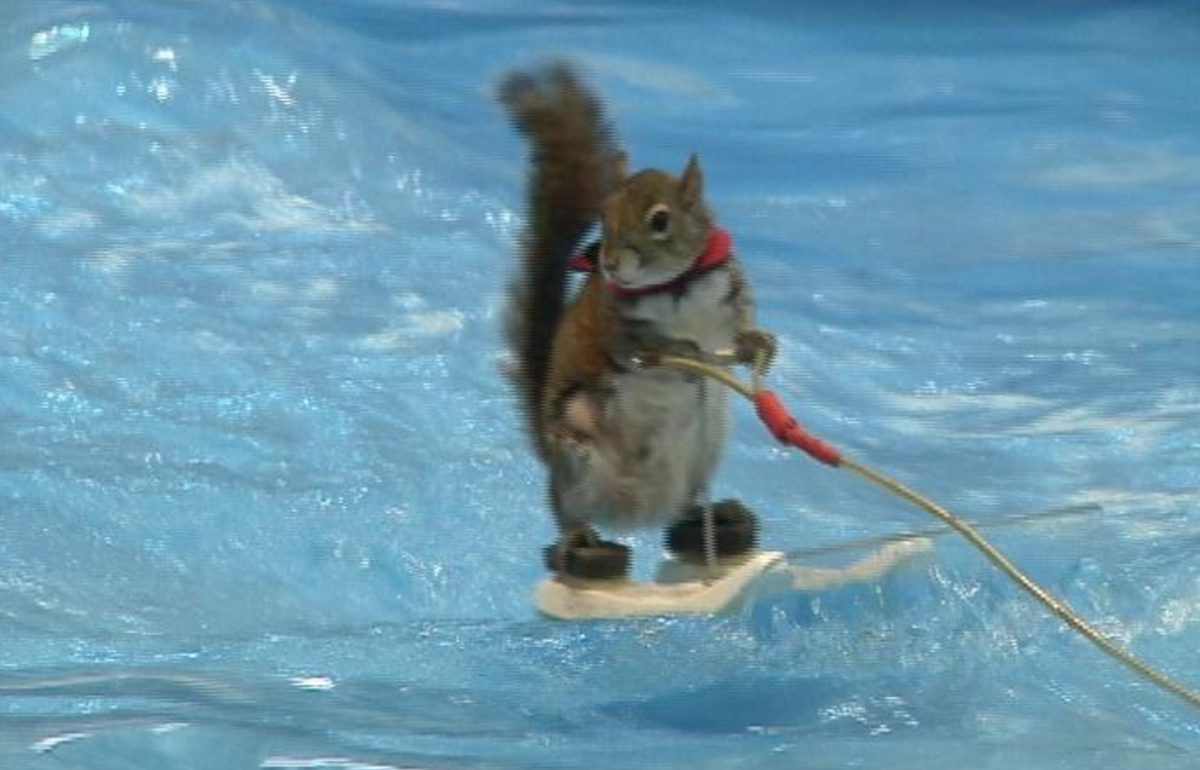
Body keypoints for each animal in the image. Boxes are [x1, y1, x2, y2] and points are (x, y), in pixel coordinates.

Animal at [499, 62, 775, 579]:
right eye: (603, 216)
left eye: (660, 220)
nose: (609, 264)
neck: (676, 284)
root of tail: (635, 510)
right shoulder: (616, 324)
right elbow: (640, 351)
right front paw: (684, 351)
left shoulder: (731, 295)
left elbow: (742, 326)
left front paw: (758, 343)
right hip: (575, 446)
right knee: (570, 510)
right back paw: (576, 539)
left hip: (706, 445)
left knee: (685, 508)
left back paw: (715, 513)